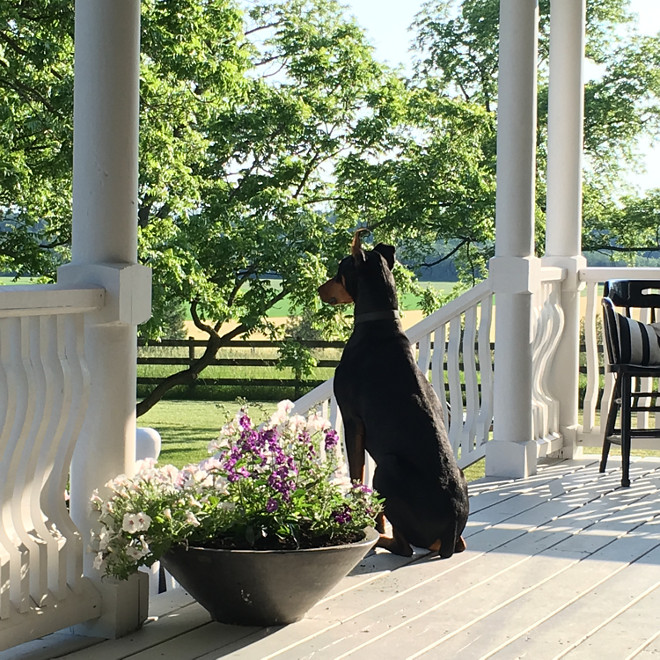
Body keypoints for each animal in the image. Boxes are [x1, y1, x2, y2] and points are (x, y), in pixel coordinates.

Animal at [320, 232, 470, 556]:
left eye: (339, 271)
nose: (320, 289)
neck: (378, 324)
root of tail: (451, 525)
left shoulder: (352, 420)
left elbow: (356, 474)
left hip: (388, 468)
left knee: (405, 547)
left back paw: (381, 539)